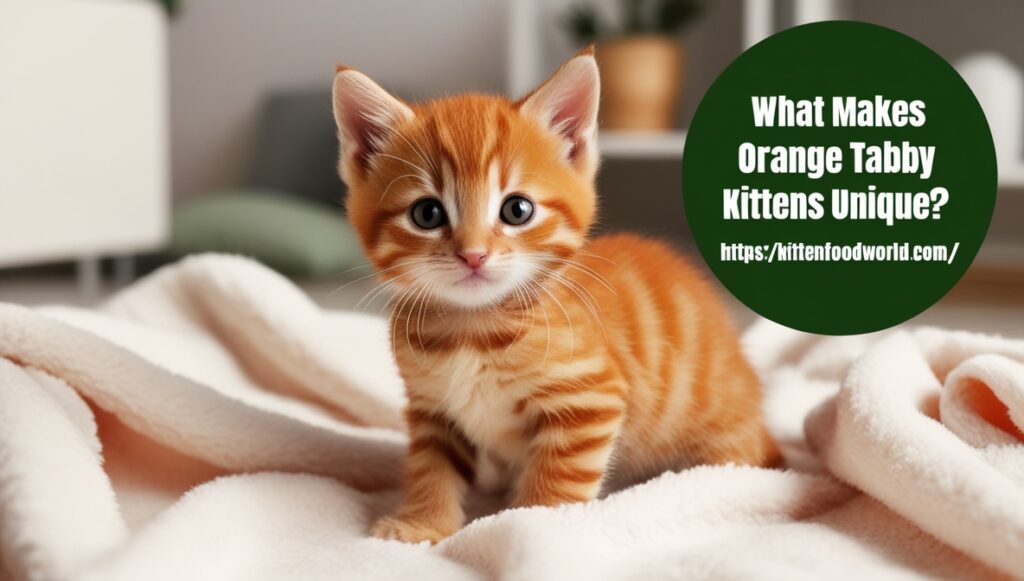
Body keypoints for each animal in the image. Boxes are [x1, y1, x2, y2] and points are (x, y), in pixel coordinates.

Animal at [331, 46, 778, 545]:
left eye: (517, 210)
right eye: (427, 213)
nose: (473, 254)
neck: (472, 328)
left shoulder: (589, 399)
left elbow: (556, 483)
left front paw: (527, 527)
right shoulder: (432, 410)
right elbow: (431, 467)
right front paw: (421, 523)